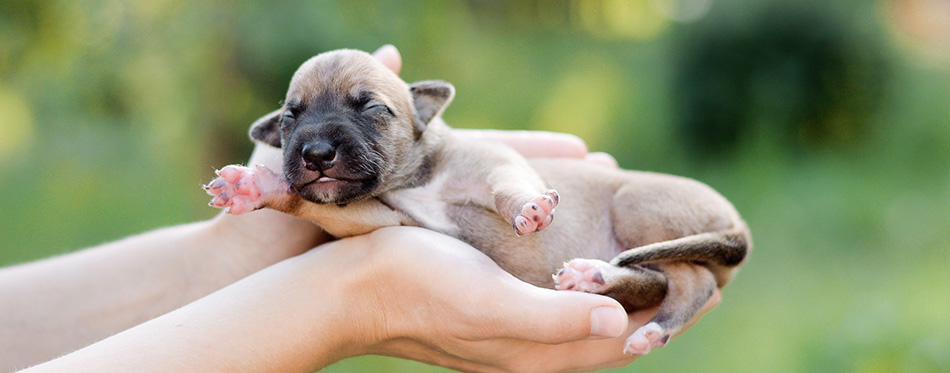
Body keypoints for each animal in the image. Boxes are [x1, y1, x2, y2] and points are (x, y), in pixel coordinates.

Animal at [206, 48, 752, 354]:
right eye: (289, 118)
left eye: (372, 107)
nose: (317, 154)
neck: (417, 178)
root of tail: (738, 225)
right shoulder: (381, 219)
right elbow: (317, 204)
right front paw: (257, 186)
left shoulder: (491, 161)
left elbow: (507, 182)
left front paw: (529, 208)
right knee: (663, 280)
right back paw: (598, 282)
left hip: (637, 206)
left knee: (694, 279)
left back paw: (641, 318)